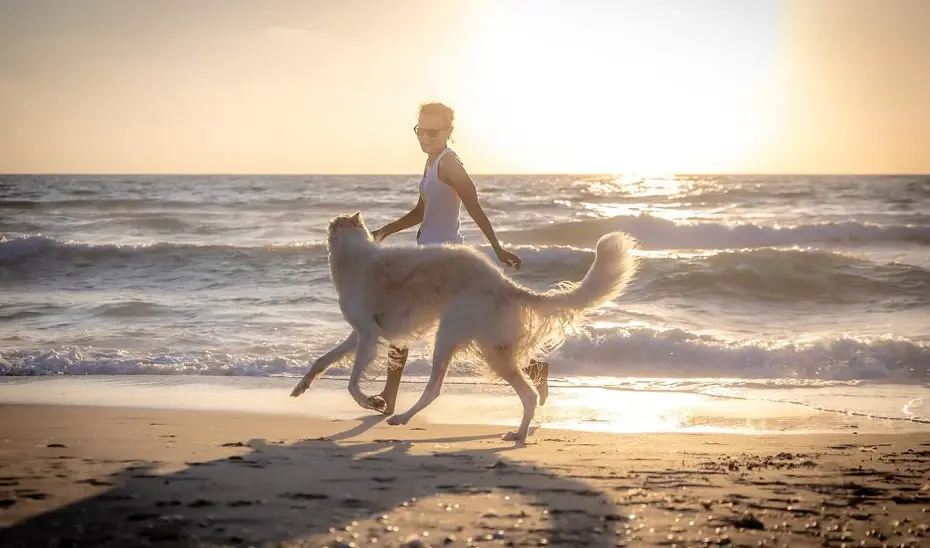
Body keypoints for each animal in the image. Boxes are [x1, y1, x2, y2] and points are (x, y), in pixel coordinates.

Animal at [290, 212, 640, 444]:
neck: (353, 255)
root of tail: (504, 283)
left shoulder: (368, 335)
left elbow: (352, 384)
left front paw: (372, 402)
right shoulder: (358, 334)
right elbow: (322, 360)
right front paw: (300, 386)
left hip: (452, 338)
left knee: (443, 389)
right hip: (487, 347)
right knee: (520, 389)